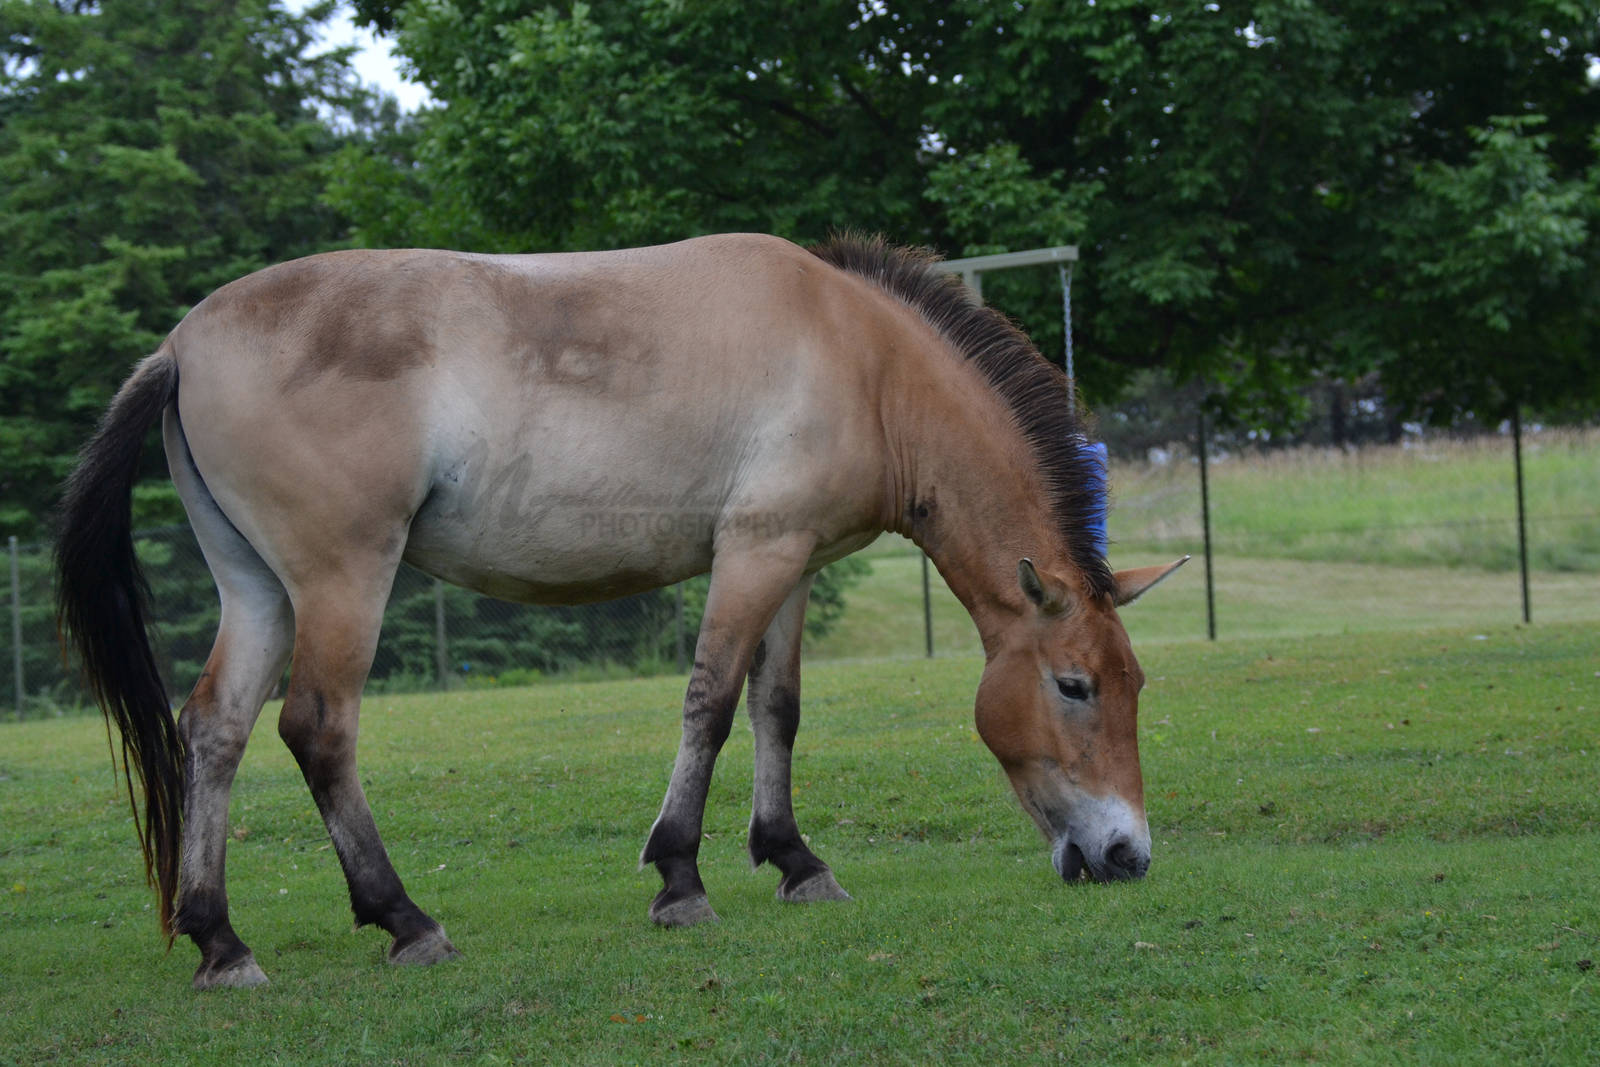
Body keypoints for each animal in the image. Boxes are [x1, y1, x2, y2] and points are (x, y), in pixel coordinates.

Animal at [56, 233, 1185, 989]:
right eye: (1074, 685)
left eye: (1134, 685)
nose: (1128, 856)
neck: (862, 357)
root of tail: (183, 344)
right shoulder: (753, 556)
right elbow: (712, 704)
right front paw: (681, 877)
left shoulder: (791, 563)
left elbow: (776, 710)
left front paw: (794, 859)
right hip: (342, 582)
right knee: (316, 729)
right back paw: (405, 917)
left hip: (257, 589)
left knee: (216, 728)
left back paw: (220, 938)